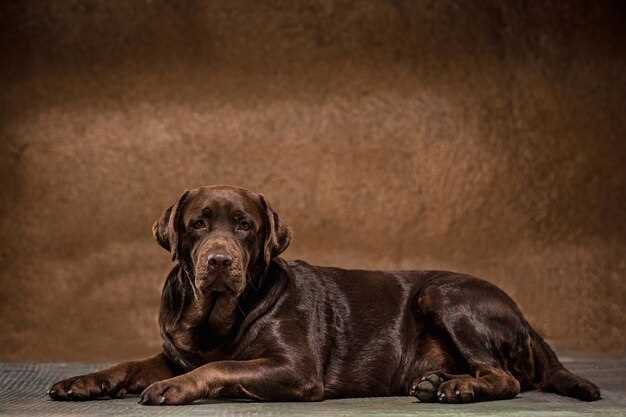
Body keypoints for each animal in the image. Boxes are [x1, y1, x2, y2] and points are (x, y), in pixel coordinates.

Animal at [47, 184, 596, 404]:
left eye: (244, 226)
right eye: (198, 224)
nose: (219, 260)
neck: (219, 316)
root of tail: (523, 316)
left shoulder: (294, 368)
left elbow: (220, 365)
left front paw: (174, 388)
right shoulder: (173, 351)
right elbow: (129, 365)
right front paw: (82, 382)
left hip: (444, 295)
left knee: (505, 377)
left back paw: (458, 388)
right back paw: (436, 381)